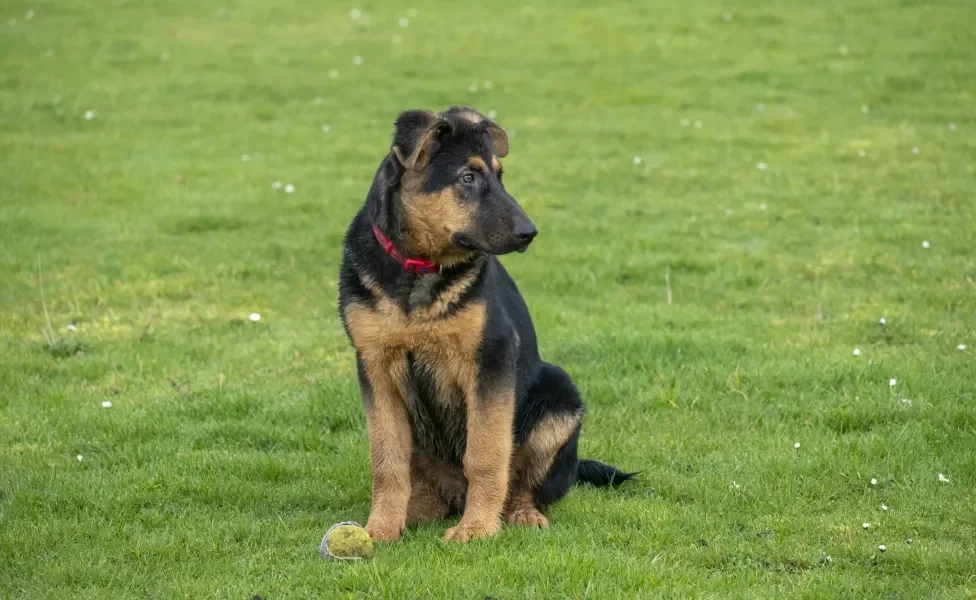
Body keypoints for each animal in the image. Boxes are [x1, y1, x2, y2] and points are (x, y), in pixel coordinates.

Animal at [340, 108, 632, 544]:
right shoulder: (376, 367)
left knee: (527, 485)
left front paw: (477, 528)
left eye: (499, 175)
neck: (420, 269)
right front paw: (380, 529)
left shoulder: (491, 361)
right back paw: (417, 511)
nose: (530, 233)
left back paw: (521, 514)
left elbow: (485, 453)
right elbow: (387, 460)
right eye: (468, 177)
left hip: (559, 397)